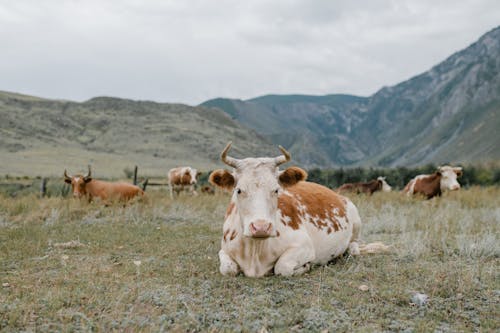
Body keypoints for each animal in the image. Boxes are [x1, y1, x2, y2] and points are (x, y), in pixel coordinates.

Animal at [209, 141, 388, 276]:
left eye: (276, 189)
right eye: (238, 190)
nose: (261, 227)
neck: (255, 252)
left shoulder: (304, 246)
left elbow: (282, 267)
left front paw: (305, 267)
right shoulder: (224, 249)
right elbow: (227, 268)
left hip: (356, 220)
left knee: (354, 247)